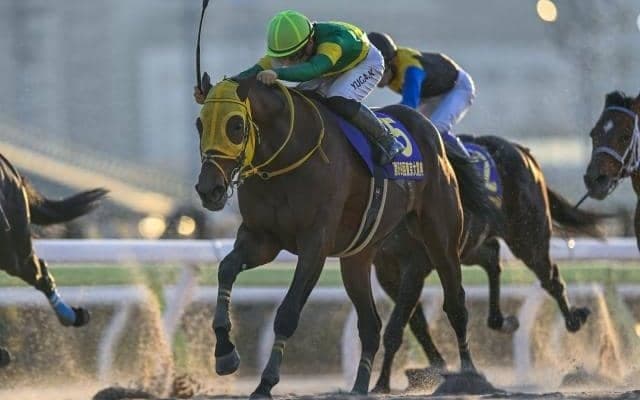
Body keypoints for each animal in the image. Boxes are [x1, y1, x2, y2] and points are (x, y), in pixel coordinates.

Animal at [194, 74, 499, 397]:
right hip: (358, 256)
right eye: (200, 124)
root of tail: (432, 131)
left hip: (440, 235)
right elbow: (226, 269)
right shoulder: (262, 239)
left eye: (236, 125)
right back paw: (361, 385)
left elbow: (288, 312)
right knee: (371, 323)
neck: (285, 156)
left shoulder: (315, 243)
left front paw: (266, 383)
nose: (208, 189)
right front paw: (225, 352)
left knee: (456, 304)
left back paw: (469, 375)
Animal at [371, 135, 606, 393]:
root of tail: (522, 151)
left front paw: (381, 383)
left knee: (550, 278)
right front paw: (435, 366)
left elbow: (397, 325)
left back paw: (573, 319)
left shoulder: (415, 264)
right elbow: (417, 323)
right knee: (492, 256)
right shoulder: (385, 269)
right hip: (470, 246)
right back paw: (501, 320)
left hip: (528, 238)